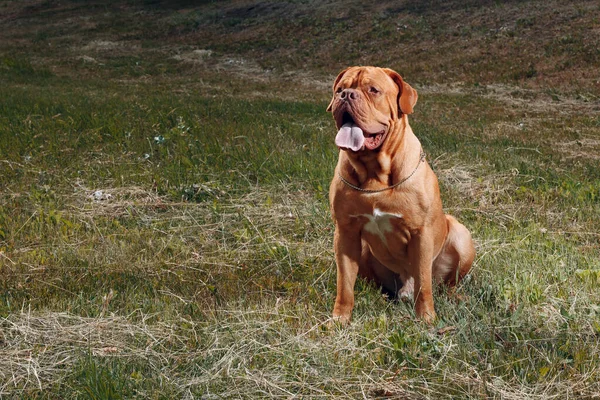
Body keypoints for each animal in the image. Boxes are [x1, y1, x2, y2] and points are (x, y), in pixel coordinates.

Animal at [326, 65, 476, 322]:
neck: (374, 175)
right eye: (339, 89)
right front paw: (340, 318)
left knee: (445, 284)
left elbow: (424, 283)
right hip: (362, 248)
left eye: (373, 90)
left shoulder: (421, 234)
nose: (346, 95)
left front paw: (426, 318)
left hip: (461, 235)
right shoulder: (345, 232)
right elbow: (344, 283)